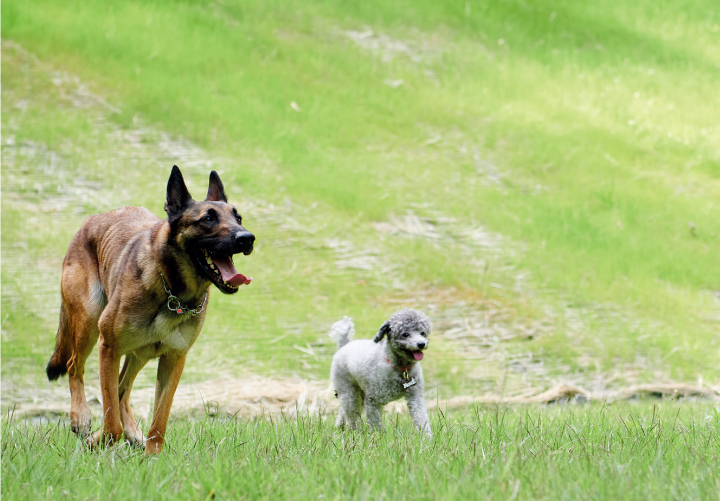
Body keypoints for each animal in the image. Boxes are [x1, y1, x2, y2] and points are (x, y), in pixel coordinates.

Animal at [45, 166, 253, 452]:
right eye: (208, 219)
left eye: (238, 218)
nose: (247, 238)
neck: (173, 290)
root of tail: (92, 220)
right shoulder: (108, 348)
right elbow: (111, 423)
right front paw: (100, 439)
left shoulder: (174, 359)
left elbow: (159, 420)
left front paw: (152, 456)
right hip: (88, 324)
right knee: (75, 365)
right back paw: (82, 418)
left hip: (139, 352)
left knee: (122, 388)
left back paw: (131, 433)